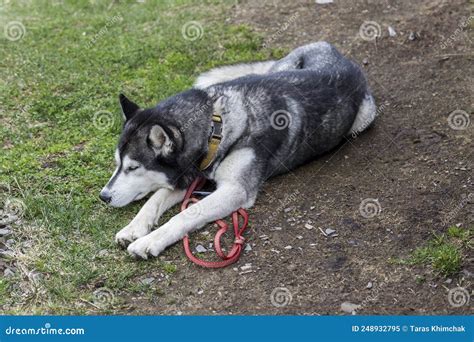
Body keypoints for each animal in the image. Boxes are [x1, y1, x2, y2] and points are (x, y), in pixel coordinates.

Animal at [100, 41, 378, 258]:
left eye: (133, 167)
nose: (104, 196)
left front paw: (149, 241)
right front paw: (134, 228)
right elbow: (154, 200)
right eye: (117, 163)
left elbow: (186, 214)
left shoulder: (234, 190)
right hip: (281, 69)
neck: (217, 128)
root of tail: (339, 53)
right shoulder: (190, 175)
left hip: (365, 117)